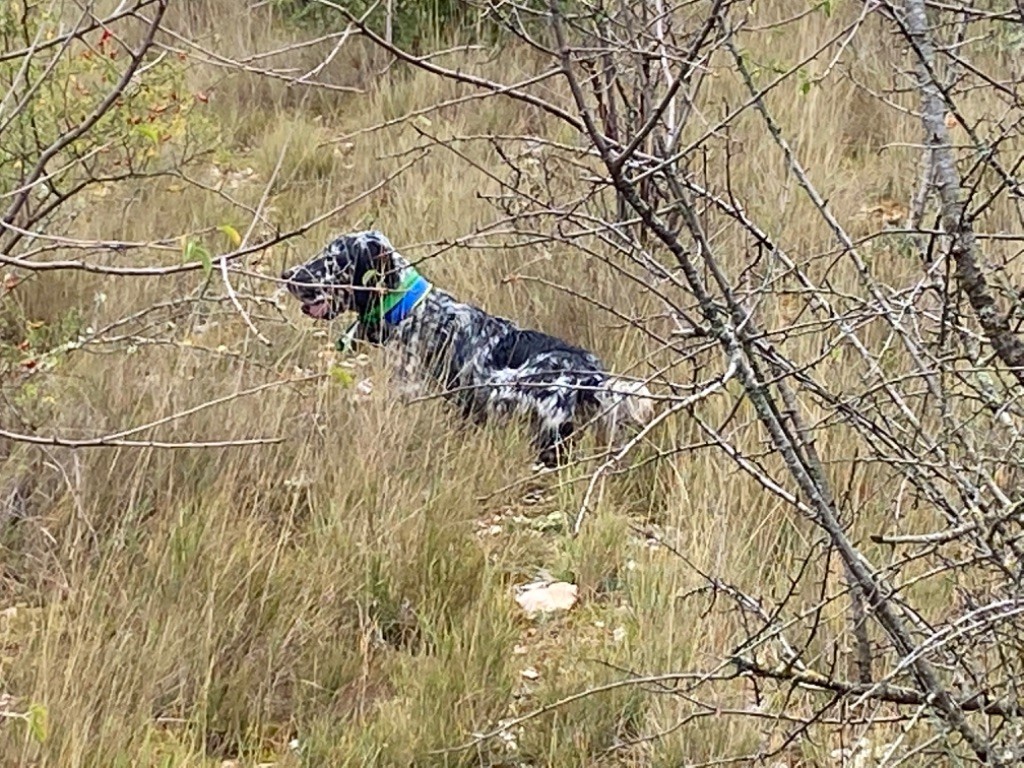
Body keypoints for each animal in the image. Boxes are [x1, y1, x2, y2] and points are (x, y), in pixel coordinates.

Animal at [278, 230, 655, 468]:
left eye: (335, 258)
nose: (287, 275)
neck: (410, 310)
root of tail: (590, 376)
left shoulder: (410, 389)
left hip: (517, 401)